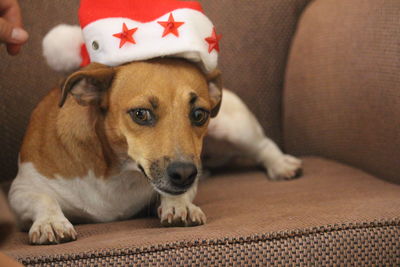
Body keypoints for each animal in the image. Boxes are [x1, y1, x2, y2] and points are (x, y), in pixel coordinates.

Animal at [7, 58, 302, 245]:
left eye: (199, 114)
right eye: (141, 114)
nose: (185, 174)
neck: (116, 172)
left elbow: (177, 195)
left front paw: (179, 205)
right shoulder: (21, 189)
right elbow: (44, 198)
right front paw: (50, 222)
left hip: (235, 124)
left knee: (263, 145)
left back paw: (281, 165)